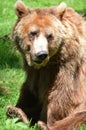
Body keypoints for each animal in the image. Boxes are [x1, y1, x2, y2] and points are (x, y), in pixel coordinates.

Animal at [6, 0, 86, 129]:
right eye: (33, 33)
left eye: (50, 36)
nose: (41, 54)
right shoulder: (33, 72)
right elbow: (29, 90)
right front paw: (17, 109)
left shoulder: (65, 67)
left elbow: (59, 94)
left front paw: (45, 121)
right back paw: (16, 113)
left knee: (79, 116)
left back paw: (43, 125)